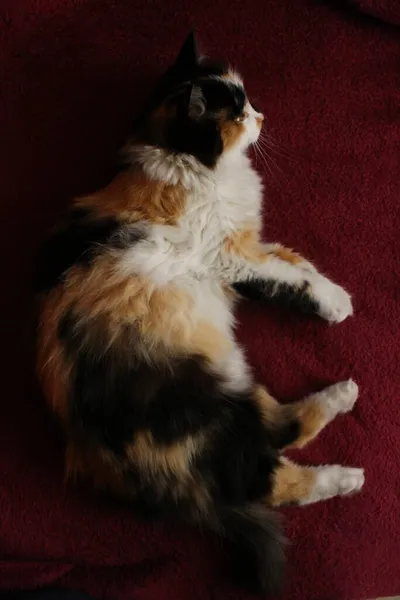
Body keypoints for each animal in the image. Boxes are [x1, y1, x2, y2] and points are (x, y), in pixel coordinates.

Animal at [36, 32, 364, 596]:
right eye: (235, 112)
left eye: (247, 100)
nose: (262, 116)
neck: (186, 162)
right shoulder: (227, 256)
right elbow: (291, 279)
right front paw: (336, 303)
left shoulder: (250, 242)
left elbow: (293, 259)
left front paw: (327, 286)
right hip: (214, 396)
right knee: (276, 463)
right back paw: (348, 451)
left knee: (273, 456)